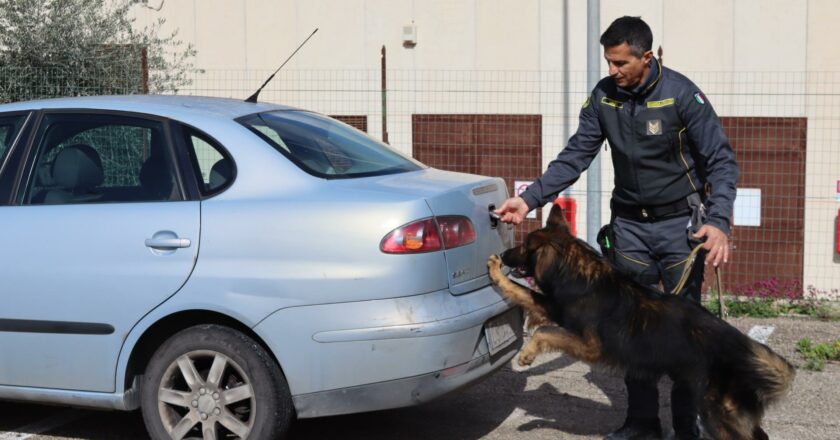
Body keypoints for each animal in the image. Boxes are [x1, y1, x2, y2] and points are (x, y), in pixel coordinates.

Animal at [486, 205, 796, 440]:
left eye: (524, 247)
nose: (503, 255)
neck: (575, 272)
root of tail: (743, 347)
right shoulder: (553, 306)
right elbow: (522, 293)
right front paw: (495, 272)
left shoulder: (589, 345)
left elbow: (544, 330)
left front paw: (527, 354)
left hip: (717, 411)